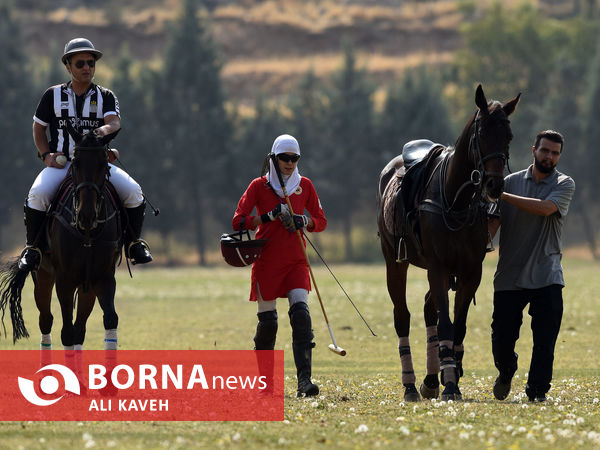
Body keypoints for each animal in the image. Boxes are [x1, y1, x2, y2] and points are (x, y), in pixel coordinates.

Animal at [0, 125, 123, 350]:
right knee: (46, 320)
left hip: (86, 286)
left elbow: (109, 319)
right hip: (42, 275)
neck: (87, 233)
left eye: (104, 164)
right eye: (75, 163)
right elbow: (66, 333)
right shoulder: (64, 280)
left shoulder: (103, 277)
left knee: (80, 327)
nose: (86, 215)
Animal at [378, 84, 516, 400]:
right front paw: (450, 383)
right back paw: (410, 384)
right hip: (395, 260)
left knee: (429, 308)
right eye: (481, 134)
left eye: (509, 136)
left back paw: (430, 379)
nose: (494, 185)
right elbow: (446, 325)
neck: (457, 199)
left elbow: (458, 326)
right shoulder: (438, 267)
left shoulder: (471, 272)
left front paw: (449, 375)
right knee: (402, 315)